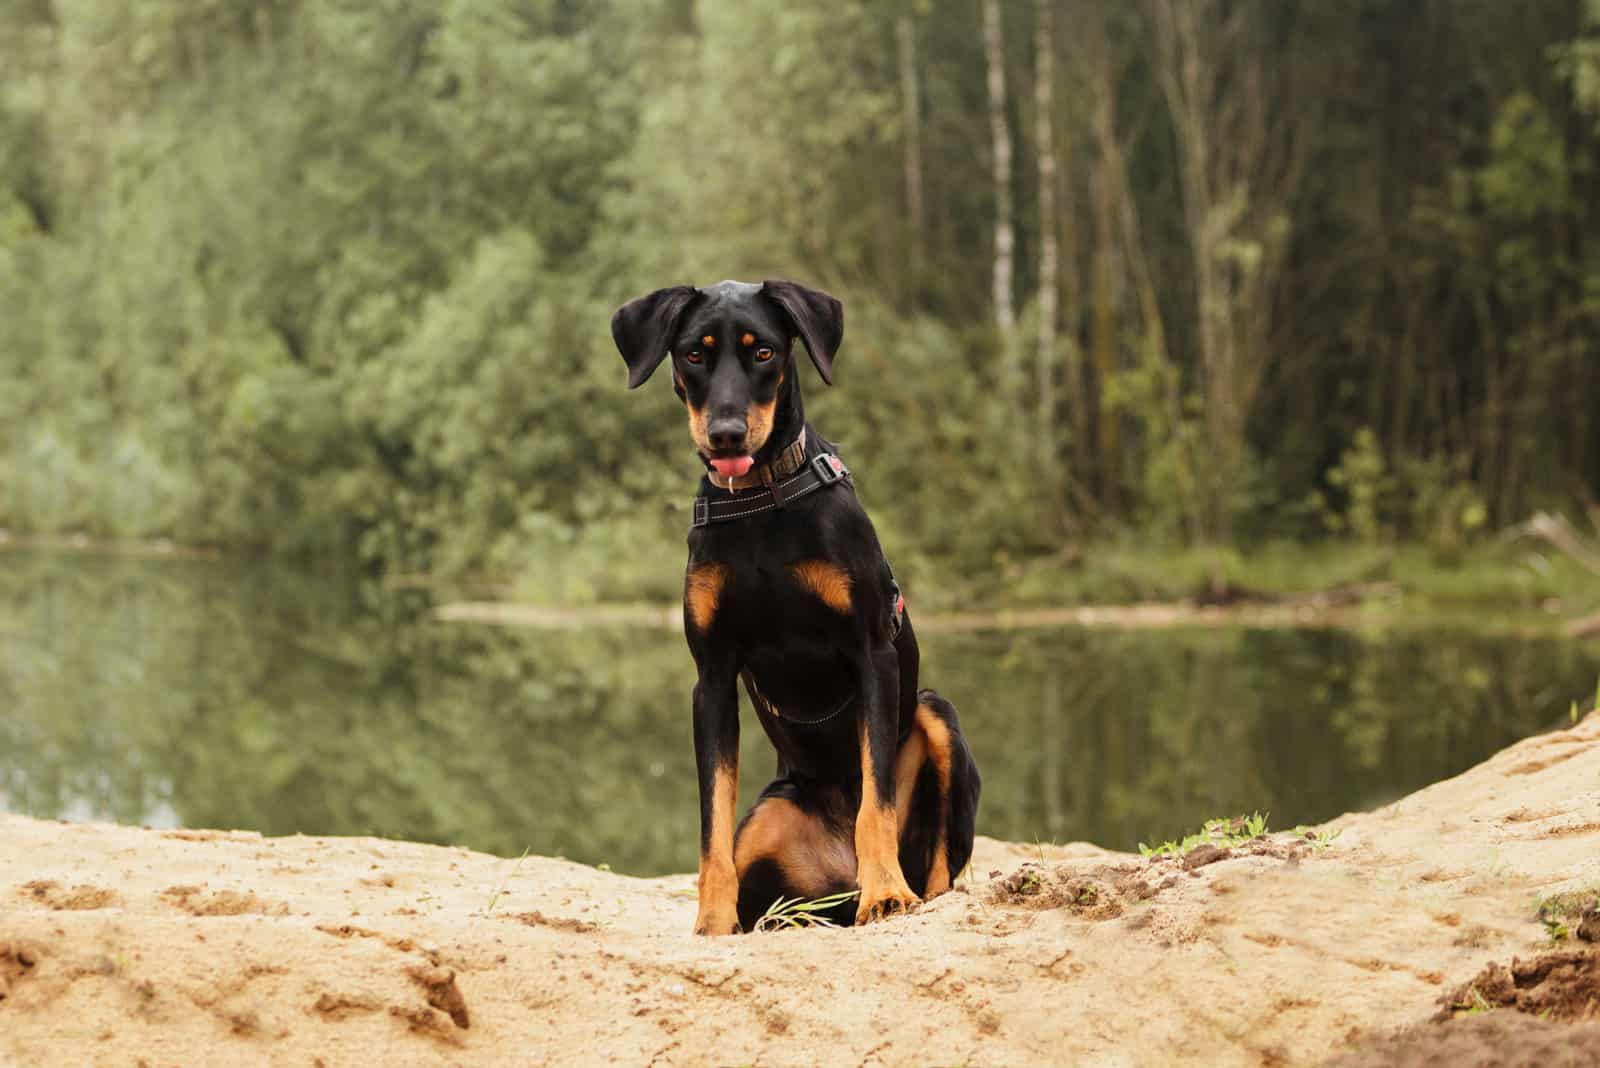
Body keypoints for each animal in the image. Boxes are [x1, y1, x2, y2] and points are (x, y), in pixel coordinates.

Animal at [611, 278, 979, 933]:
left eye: (764, 352)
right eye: (693, 354)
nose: (727, 434)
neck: (761, 502)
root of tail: (836, 878)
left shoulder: (872, 653)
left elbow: (876, 799)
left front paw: (885, 893)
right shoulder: (712, 676)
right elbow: (711, 822)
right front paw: (712, 921)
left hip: (935, 712)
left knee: (936, 862)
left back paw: (899, 892)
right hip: (769, 820)